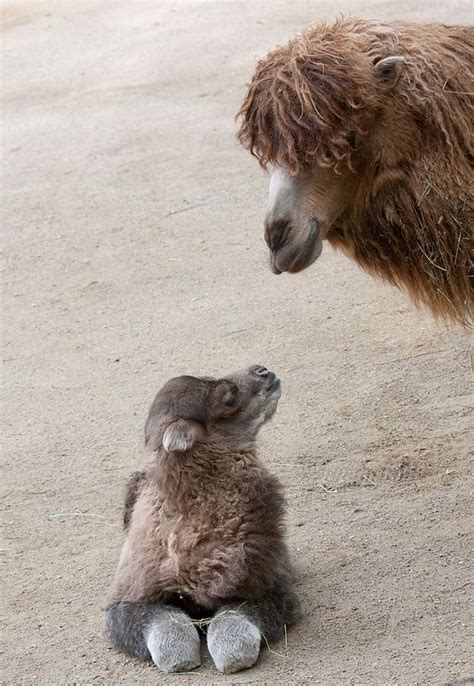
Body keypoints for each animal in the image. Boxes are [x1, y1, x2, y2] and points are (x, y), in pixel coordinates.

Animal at [105, 368, 298, 676]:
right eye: (228, 399)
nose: (264, 372)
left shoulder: (271, 588)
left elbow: (234, 615)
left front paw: (232, 657)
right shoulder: (126, 601)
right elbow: (164, 620)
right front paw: (180, 660)